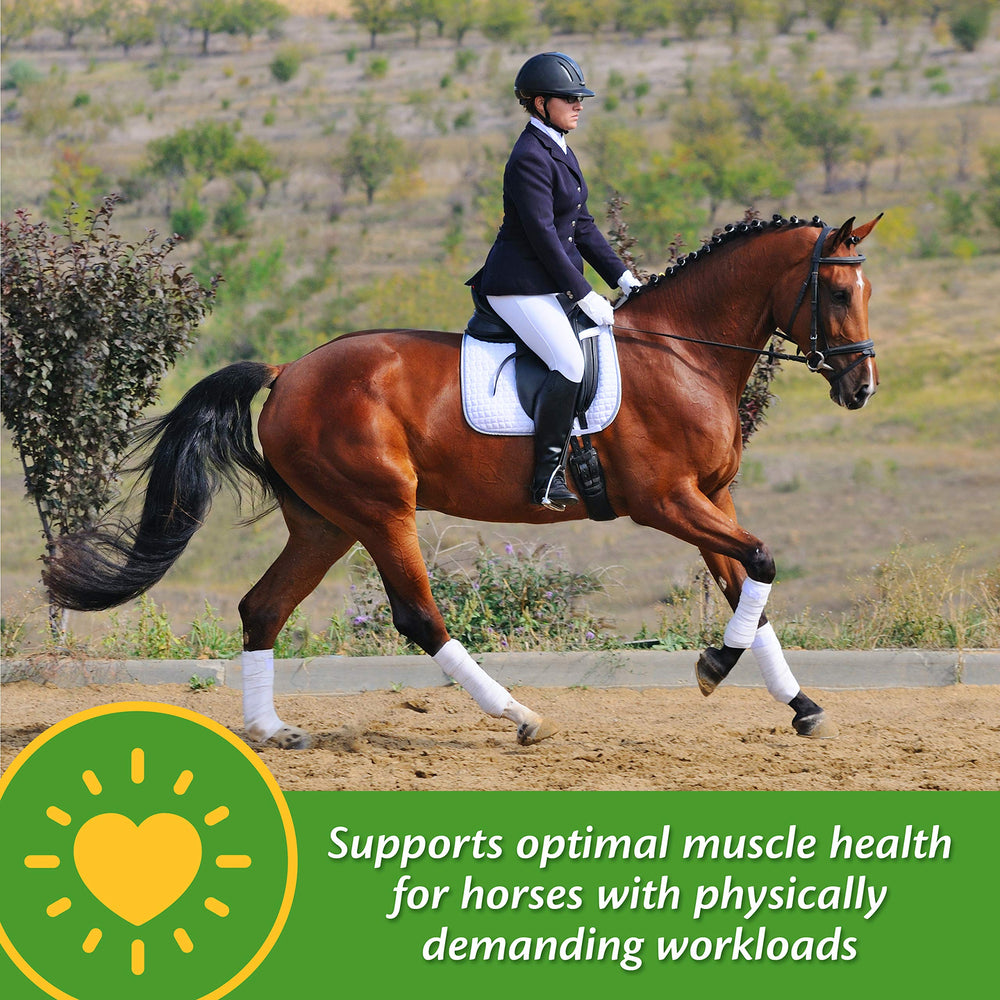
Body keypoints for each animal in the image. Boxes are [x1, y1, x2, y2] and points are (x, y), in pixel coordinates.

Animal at [44, 213, 881, 750]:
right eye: (839, 294)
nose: (861, 387)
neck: (683, 354)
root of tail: (288, 372)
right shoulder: (665, 501)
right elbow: (761, 563)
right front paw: (713, 668)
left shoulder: (712, 497)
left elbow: (750, 586)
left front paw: (800, 705)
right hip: (382, 511)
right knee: (419, 618)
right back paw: (518, 715)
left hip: (325, 522)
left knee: (264, 607)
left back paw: (272, 730)